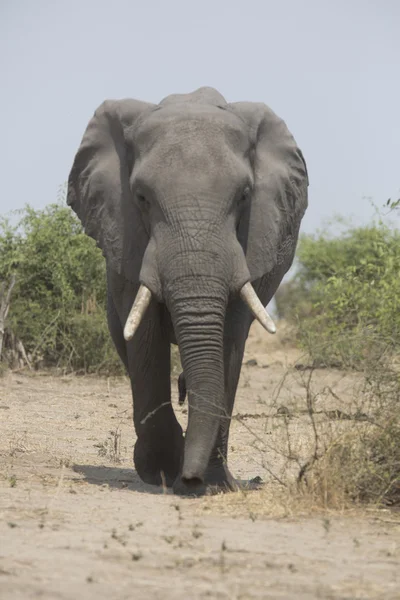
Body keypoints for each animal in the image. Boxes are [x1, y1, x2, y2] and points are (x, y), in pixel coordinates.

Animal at [67, 85, 308, 496]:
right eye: (141, 197)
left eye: (245, 196)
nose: (190, 478)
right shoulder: (126, 233)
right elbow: (145, 339)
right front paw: (163, 472)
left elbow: (228, 339)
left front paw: (208, 483)